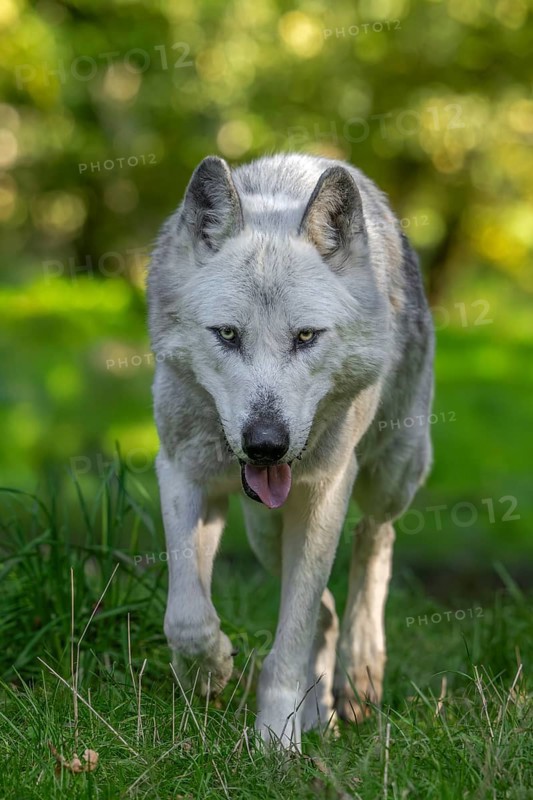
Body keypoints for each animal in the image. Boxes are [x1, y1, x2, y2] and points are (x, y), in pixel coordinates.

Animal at [147, 153, 434, 749]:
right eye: (227, 334)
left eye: (305, 337)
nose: (265, 445)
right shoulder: (181, 472)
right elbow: (186, 614)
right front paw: (209, 671)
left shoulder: (325, 490)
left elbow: (292, 638)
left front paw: (276, 743)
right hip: (264, 532)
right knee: (324, 608)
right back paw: (321, 712)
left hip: (390, 474)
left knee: (376, 539)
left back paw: (360, 671)